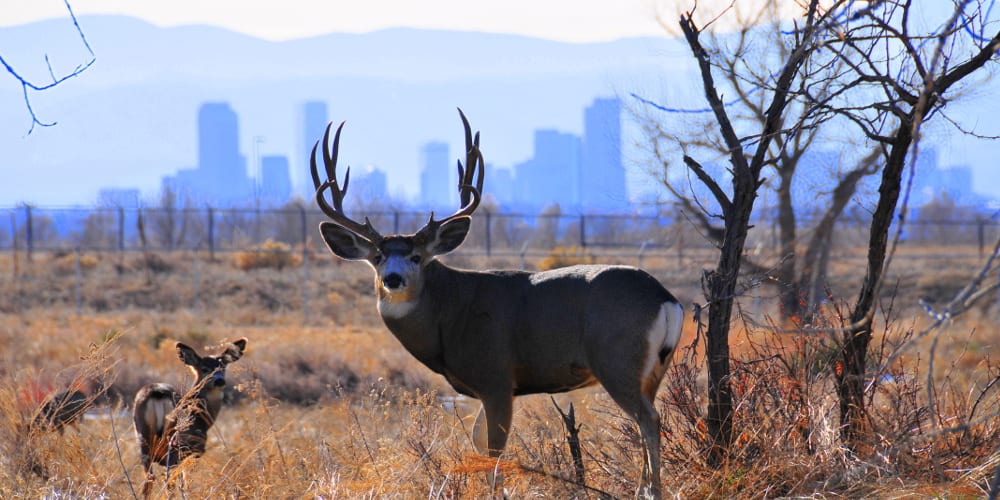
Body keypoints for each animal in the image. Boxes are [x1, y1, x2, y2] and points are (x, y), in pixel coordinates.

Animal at [132, 338, 247, 498]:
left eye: (222, 367)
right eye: (204, 369)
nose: (219, 381)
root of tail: (158, 393)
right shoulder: (195, 450)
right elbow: (186, 483)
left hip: (142, 434)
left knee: (149, 478)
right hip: (177, 442)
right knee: (169, 481)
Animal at [310, 109, 688, 496]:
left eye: (417, 257)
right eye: (378, 257)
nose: (393, 279)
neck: (450, 315)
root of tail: (666, 299)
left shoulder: (496, 377)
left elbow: (493, 450)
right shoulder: (484, 388)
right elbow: (478, 442)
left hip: (617, 358)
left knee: (648, 419)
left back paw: (652, 491)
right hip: (653, 369)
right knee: (647, 418)